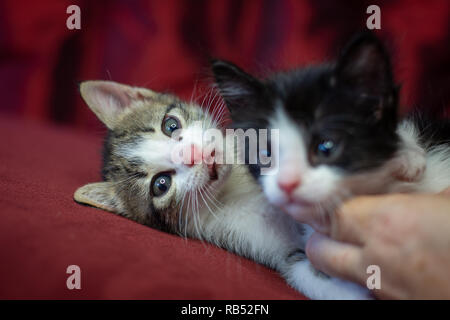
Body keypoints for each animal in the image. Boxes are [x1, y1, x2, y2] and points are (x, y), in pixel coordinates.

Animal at [73, 80, 370, 300]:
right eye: (161, 185)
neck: (234, 186)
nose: (193, 154)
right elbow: (304, 272)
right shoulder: (274, 250)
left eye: (170, 125)